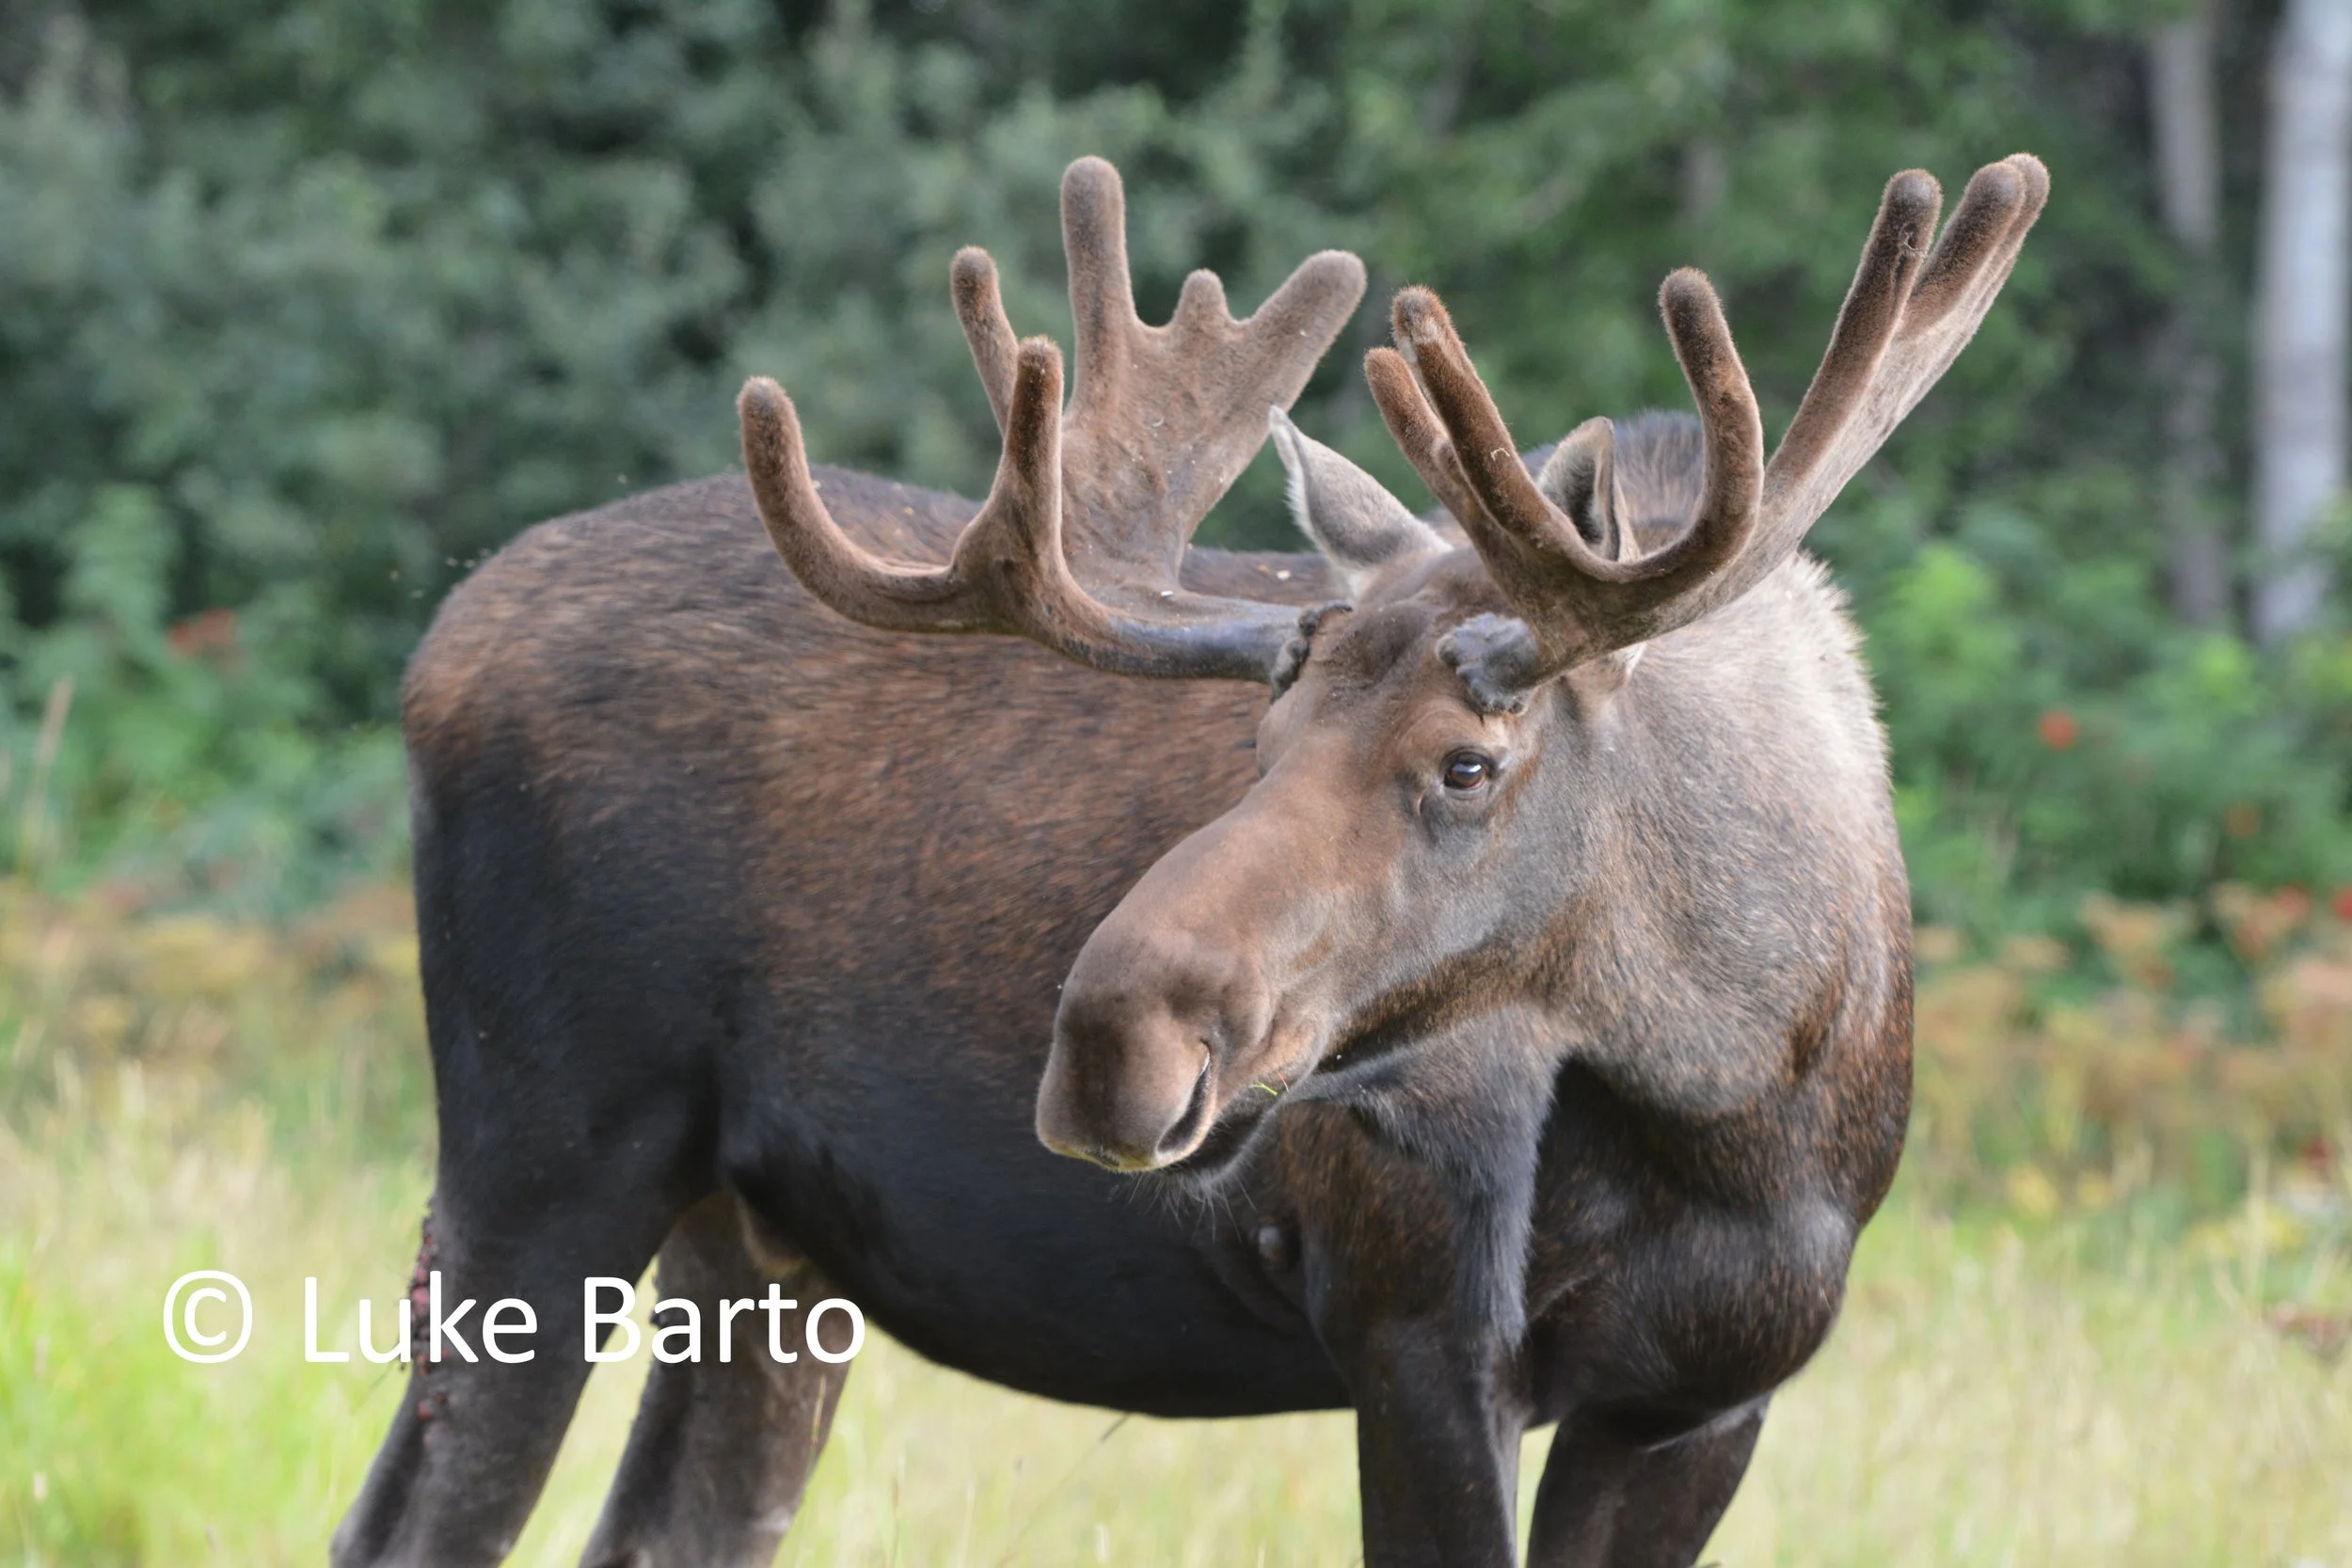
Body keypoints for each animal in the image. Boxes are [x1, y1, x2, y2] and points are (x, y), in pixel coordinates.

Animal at [334, 152, 2045, 1568]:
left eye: (1468, 762)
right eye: (1261, 736)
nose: (1110, 1035)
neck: (1731, 1084)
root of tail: (438, 642)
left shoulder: (1703, 1398)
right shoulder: (1412, 1327)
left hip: (766, 1243)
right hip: (545, 1154)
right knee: (411, 1524)